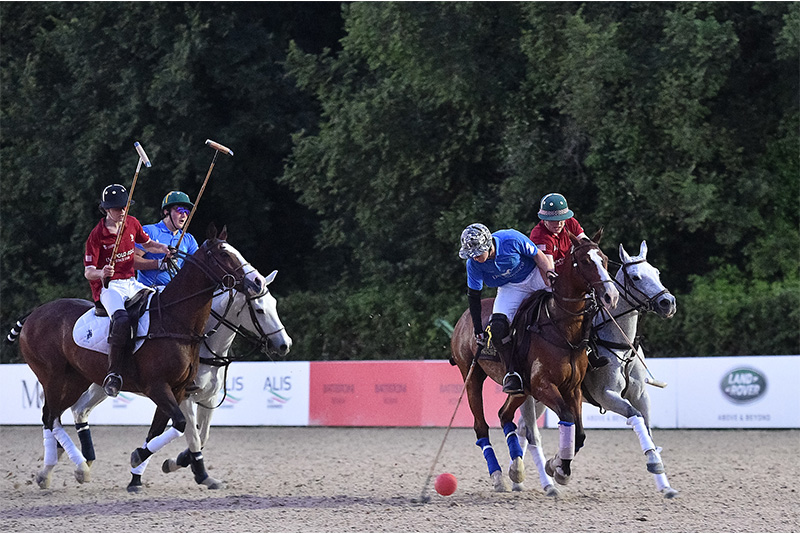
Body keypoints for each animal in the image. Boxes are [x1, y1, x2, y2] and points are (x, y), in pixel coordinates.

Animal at [16, 225, 260, 490]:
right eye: (224, 255)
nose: (257, 282)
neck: (175, 320)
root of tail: (33, 314)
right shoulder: (157, 386)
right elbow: (180, 424)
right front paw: (139, 461)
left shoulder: (178, 390)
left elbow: (160, 431)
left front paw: (139, 464)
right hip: (52, 377)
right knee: (49, 417)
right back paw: (72, 467)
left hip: (75, 379)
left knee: (55, 417)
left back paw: (56, 470)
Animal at [65, 272, 290, 494]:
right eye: (259, 310)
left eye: (274, 303)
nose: (285, 344)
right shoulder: (184, 397)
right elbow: (194, 436)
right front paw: (197, 473)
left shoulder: (208, 398)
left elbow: (202, 434)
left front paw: (180, 462)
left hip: (102, 384)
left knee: (79, 409)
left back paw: (82, 466)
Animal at [450, 230, 620, 494]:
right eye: (584, 261)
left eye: (603, 258)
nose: (611, 296)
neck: (562, 328)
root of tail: (464, 319)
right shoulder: (543, 386)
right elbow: (567, 417)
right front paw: (560, 469)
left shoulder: (572, 388)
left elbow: (579, 433)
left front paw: (556, 465)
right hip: (472, 376)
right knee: (481, 426)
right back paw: (498, 476)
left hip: (521, 388)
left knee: (504, 415)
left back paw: (516, 469)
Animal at [516, 243, 680, 502]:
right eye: (636, 277)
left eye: (657, 272)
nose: (668, 302)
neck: (620, 344)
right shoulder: (606, 395)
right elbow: (636, 418)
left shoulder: (640, 394)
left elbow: (647, 426)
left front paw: (665, 484)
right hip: (532, 393)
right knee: (530, 432)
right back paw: (541, 480)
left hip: (543, 397)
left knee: (523, 428)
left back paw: (519, 479)